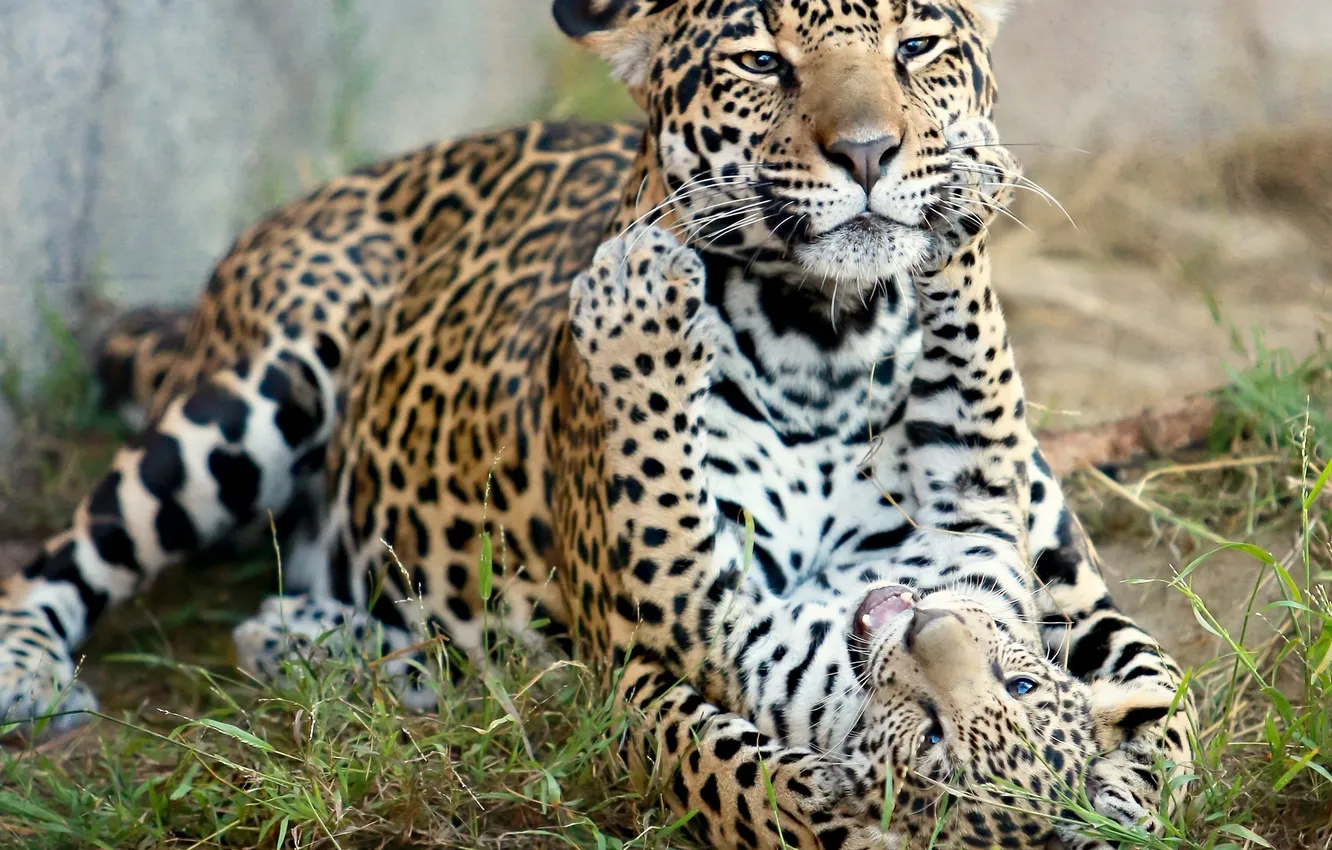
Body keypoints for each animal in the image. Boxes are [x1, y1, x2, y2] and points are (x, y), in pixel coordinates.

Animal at [0, 0, 1193, 848]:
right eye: (762, 62)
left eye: (918, 50)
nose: (869, 154)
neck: (830, 346)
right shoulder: (645, 651)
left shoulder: (1048, 586)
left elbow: (1163, 700)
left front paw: (1120, 794)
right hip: (261, 386)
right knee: (69, 549)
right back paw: (32, 672)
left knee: (456, 654)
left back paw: (326, 645)